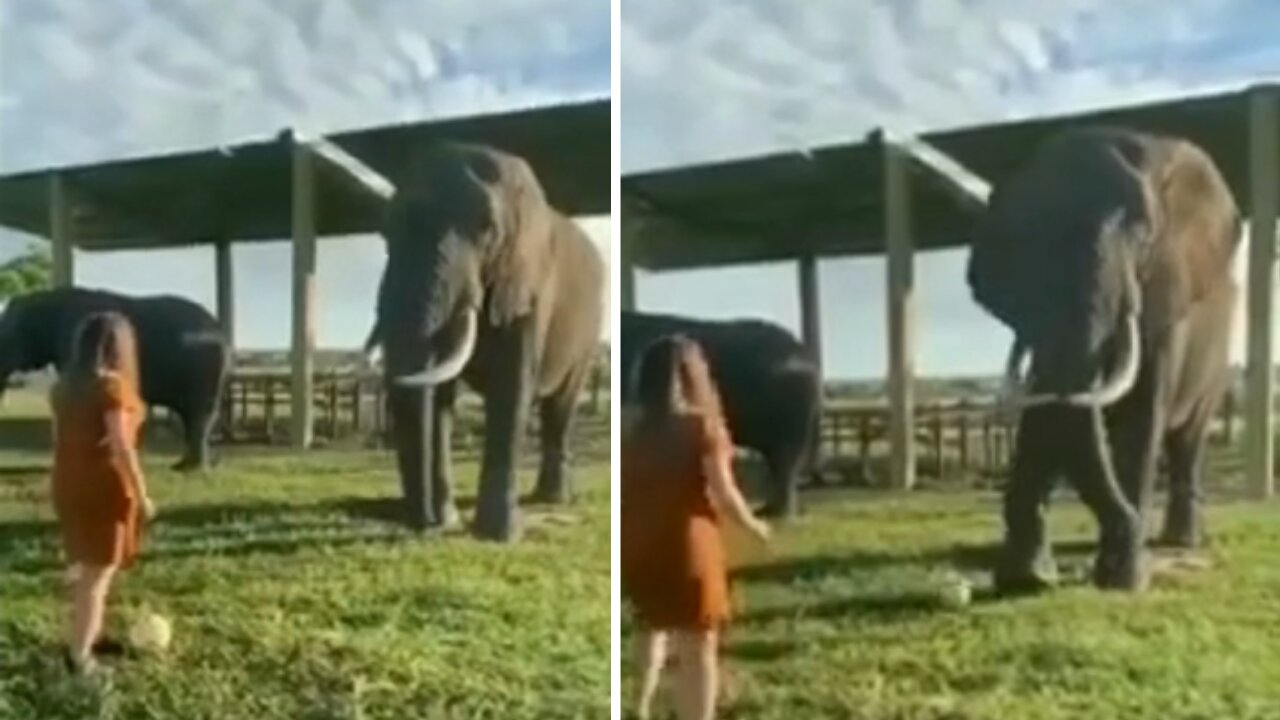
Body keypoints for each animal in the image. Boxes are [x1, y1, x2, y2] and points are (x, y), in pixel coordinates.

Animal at [0, 285, 232, 471]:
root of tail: (220, 328)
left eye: (9, 336)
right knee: (188, 414)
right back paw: (182, 465)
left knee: (199, 412)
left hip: (204, 365)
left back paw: (190, 469)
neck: (47, 298)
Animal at [363, 142, 606, 540]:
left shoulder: (530, 283)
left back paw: (552, 499)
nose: (424, 525)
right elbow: (442, 392)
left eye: (487, 229)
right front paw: (449, 520)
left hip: (589, 335)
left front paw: (500, 535)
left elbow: (512, 382)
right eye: (385, 233)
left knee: (559, 408)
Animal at [616, 310, 819, 515]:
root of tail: (805, 355)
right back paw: (767, 510)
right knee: (780, 467)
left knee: (786, 467)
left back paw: (776, 513)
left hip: (790, 428)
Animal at [967, 126, 1239, 591]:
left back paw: (1178, 541)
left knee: (1187, 442)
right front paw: (1028, 578)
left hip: (1217, 363)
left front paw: (1124, 579)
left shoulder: (1165, 298)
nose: (1128, 527)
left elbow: (1138, 419)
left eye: (1144, 233)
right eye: (1028, 236)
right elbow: (1047, 410)